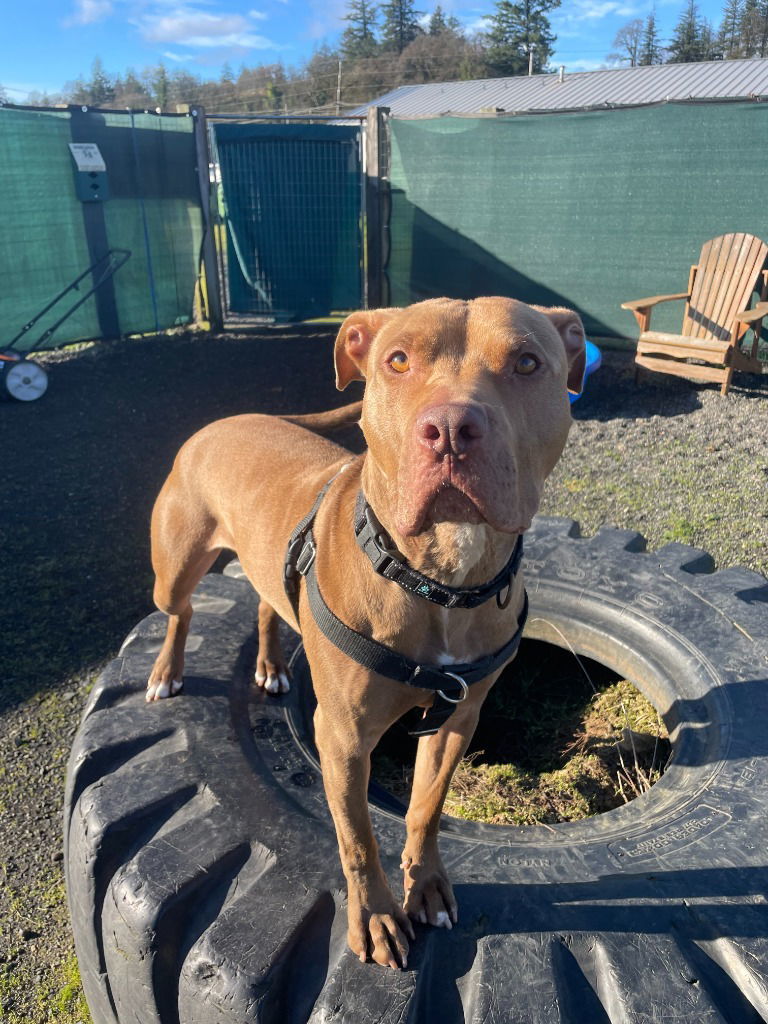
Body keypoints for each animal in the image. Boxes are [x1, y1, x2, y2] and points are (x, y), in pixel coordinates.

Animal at [147, 294, 585, 966]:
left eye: (528, 362)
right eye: (397, 361)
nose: (450, 429)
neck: (438, 577)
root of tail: (226, 420)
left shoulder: (458, 719)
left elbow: (426, 808)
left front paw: (425, 886)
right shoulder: (343, 738)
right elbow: (356, 839)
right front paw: (376, 918)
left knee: (266, 603)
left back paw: (271, 665)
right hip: (173, 567)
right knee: (181, 611)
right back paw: (168, 672)